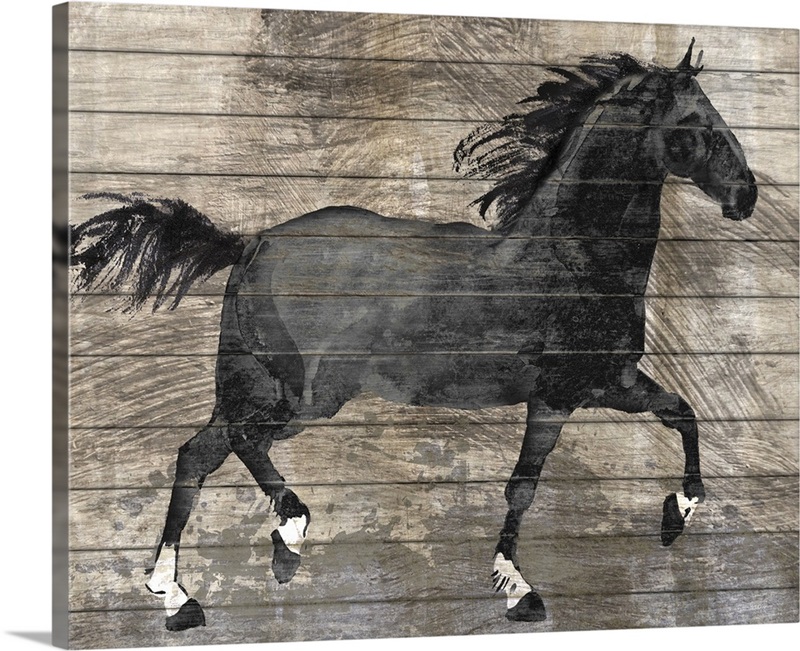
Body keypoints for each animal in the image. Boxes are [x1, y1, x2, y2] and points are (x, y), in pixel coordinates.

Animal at [70, 40, 757, 631]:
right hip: (306, 394)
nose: (745, 195)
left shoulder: (608, 382)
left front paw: (676, 516)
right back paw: (288, 533)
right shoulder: (557, 395)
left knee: (197, 454)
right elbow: (524, 486)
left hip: (255, 384)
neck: (573, 258)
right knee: (240, 443)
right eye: (699, 122)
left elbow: (682, 414)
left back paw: (178, 595)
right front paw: (519, 589)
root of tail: (252, 241)